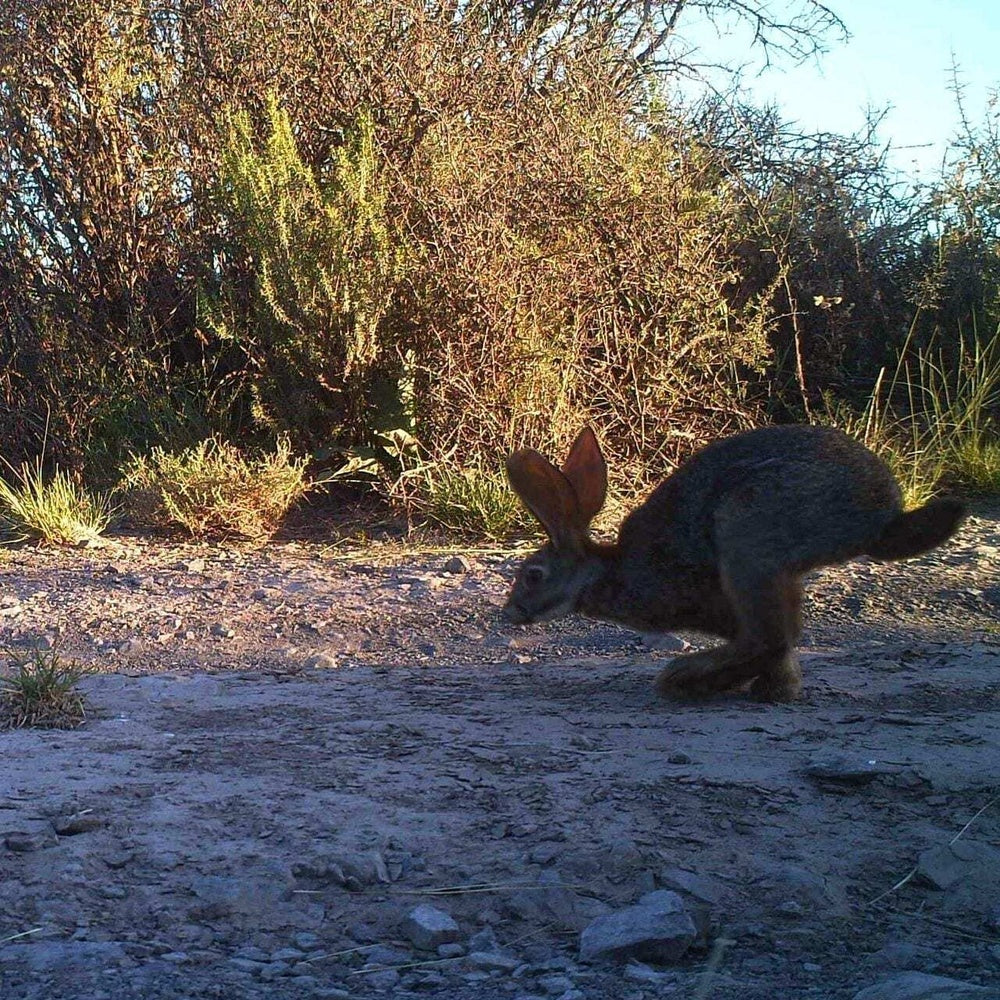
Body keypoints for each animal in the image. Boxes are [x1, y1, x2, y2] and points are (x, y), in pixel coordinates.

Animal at [504, 426, 964, 700]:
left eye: (533, 576)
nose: (509, 613)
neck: (606, 572)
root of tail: (882, 516)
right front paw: (782, 686)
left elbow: (774, 643)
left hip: (747, 531)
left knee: (770, 637)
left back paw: (686, 679)